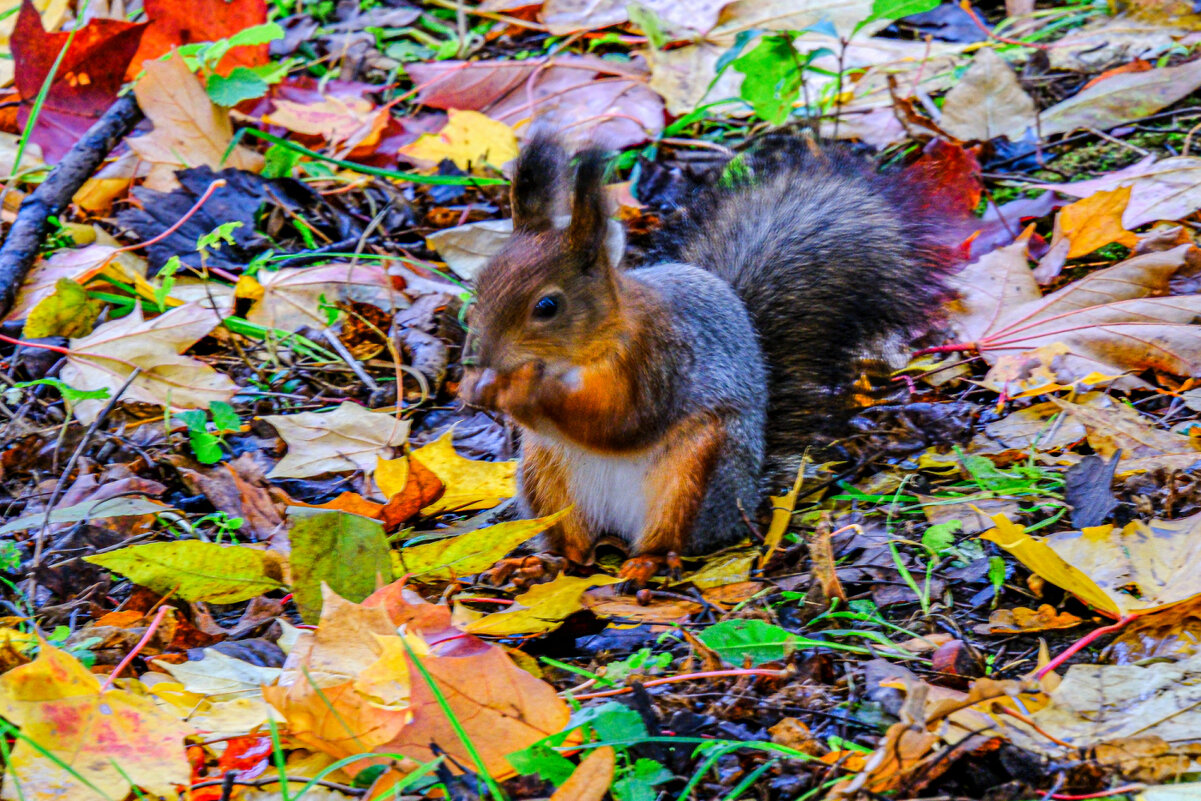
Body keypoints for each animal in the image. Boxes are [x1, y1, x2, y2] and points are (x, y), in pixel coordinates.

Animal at [458, 133, 955, 588]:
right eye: (480, 283)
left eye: (547, 306)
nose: (480, 358)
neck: (586, 349)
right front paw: (478, 386)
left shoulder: (660, 360)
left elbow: (620, 421)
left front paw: (516, 386)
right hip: (545, 479)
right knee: (574, 551)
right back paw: (542, 563)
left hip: (696, 474)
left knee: (674, 539)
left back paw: (647, 564)